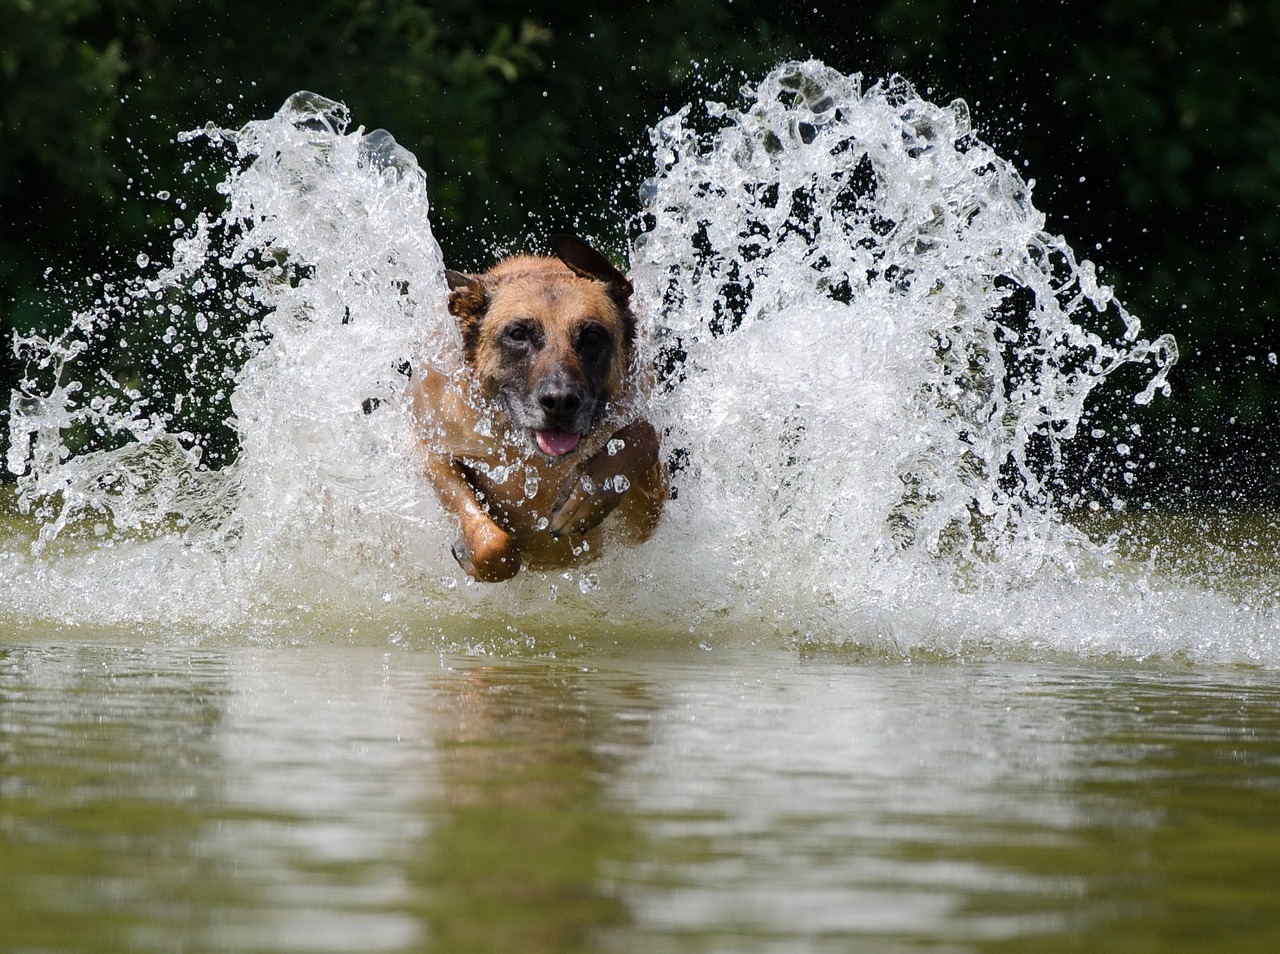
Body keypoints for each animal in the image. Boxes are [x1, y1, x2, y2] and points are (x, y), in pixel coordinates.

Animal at [409, 236, 670, 581]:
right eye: (518, 334)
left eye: (592, 336)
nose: (560, 401)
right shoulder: (428, 445)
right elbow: (493, 546)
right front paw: (470, 551)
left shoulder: (643, 522)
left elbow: (643, 435)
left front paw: (587, 494)